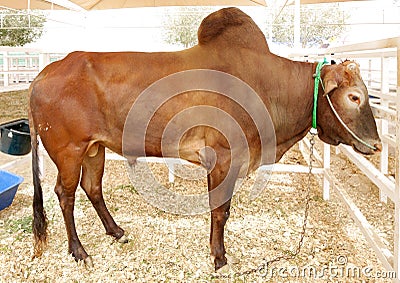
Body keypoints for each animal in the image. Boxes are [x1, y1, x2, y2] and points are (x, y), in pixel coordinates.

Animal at [28, 7, 382, 272]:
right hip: (69, 150)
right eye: (354, 97)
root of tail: (44, 74)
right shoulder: (225, 156)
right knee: (64, 194)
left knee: (92, 188)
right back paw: (79, 250)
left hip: (94, 149)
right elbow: (220, 210)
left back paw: (116, 231)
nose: (376, 145)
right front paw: (219, 256)